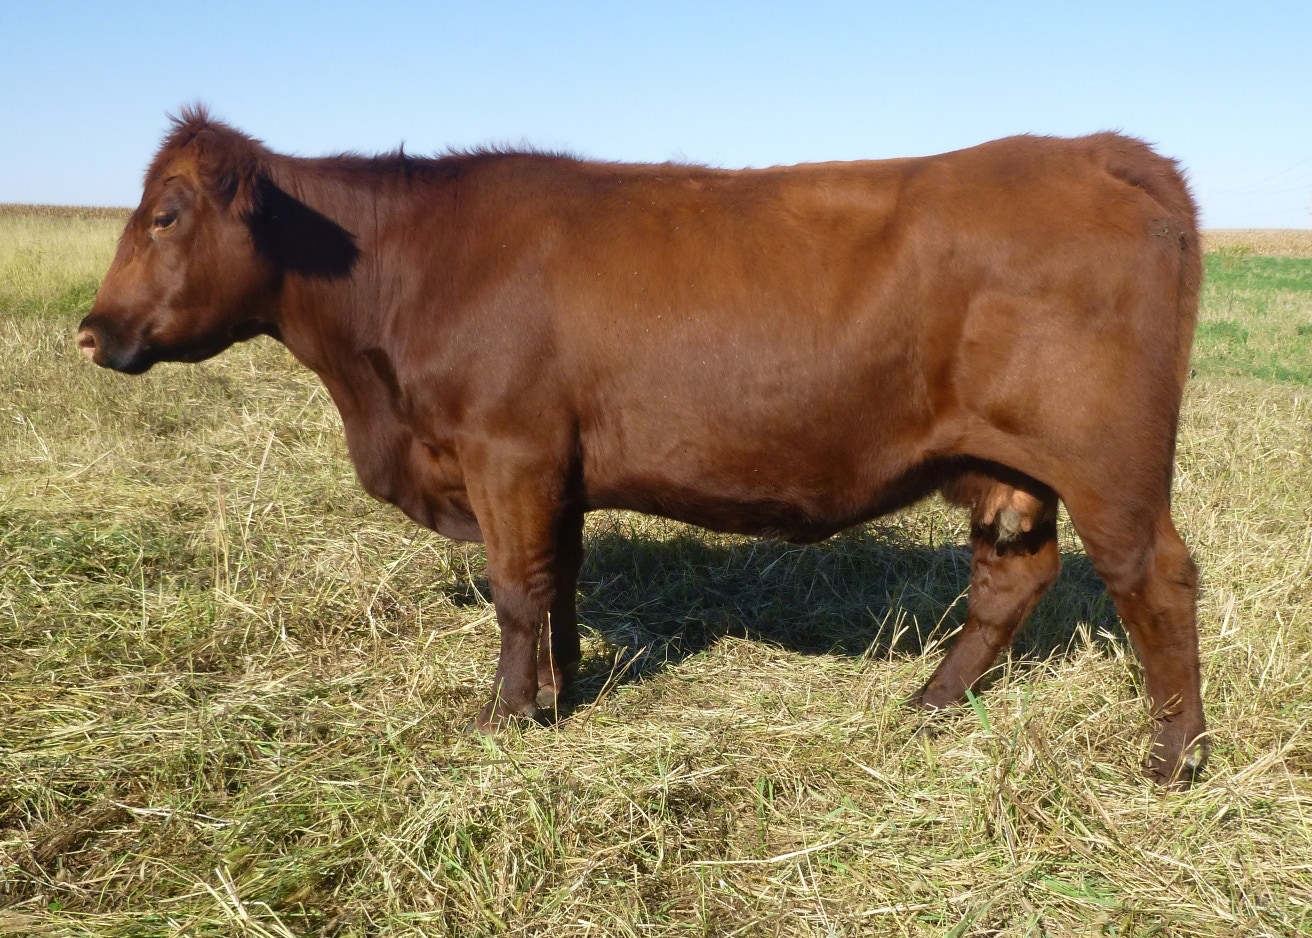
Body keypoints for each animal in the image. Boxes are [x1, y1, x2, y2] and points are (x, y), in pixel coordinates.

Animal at [77, 107, 1206, 783]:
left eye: (167, 214)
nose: (92, 329)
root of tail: (1097, 149)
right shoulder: (555, 471)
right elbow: (558, 581)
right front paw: (563, 690)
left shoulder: (506, 451)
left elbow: (515, 589)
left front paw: (502, 718)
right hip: (1009, 471)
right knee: (1011, 577)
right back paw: (927, 702)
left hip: (1108, 464)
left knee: (1155, 577)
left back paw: (1173, 754)